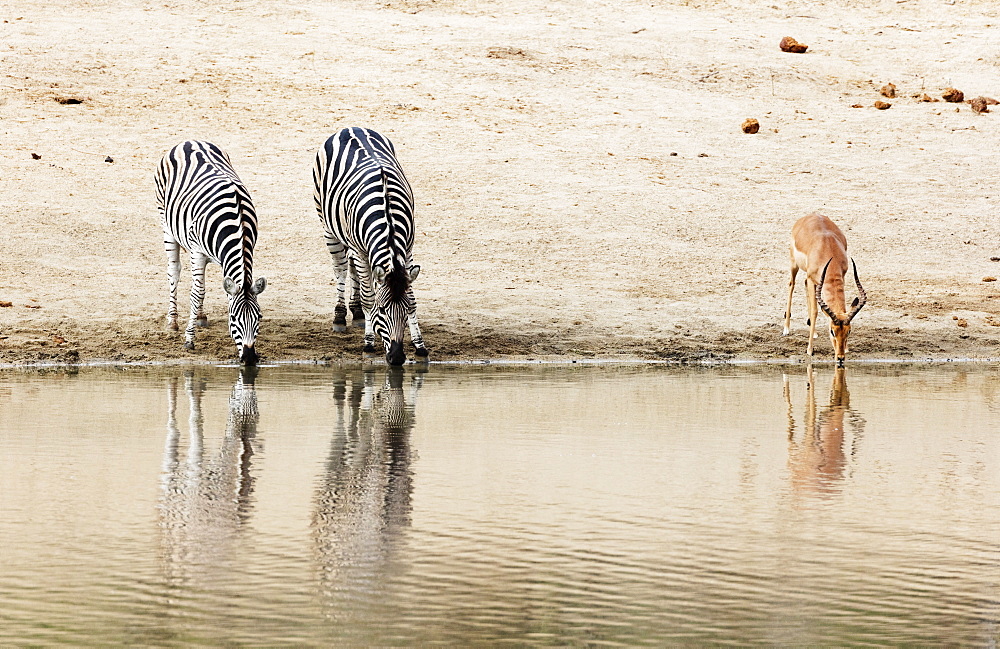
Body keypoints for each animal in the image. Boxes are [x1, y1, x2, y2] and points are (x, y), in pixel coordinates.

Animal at [155, 141, 266, 364]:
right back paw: (172, 321)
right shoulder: (196, 251)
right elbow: (196, 293)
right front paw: (189, 340)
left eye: (259, 318)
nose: (249, 358)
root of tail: (190, 140)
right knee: (174, 272)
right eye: (233, 319)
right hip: (167, 225)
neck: (238, 223)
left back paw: (199, 316)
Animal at [310, 126, 424, 364]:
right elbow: (369, 297)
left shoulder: (408, 248)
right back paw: (340, 316)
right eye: (382, 310)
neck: (388, 218)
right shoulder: (362, 250)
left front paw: (420, 346)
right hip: (328, 228)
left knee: (355, 270)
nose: (397, 358)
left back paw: (357, 313)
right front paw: (369, 345)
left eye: (405, 310)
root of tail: (350, 127)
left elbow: (410, 295)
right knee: (341, 269)